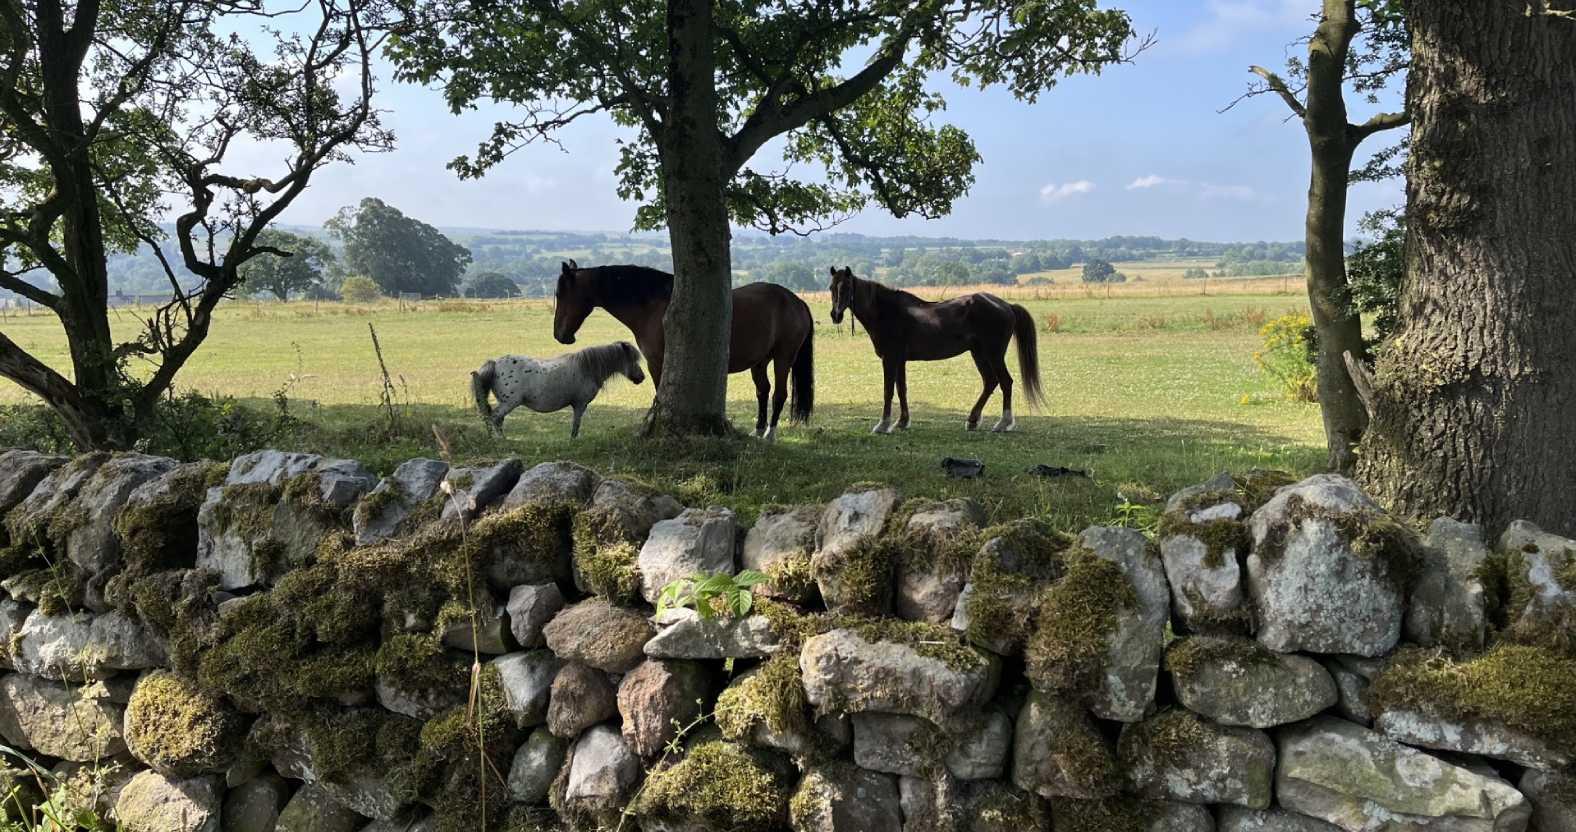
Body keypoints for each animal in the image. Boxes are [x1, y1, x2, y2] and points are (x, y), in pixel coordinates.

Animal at [470, 341, 645, 438]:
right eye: (633, 360)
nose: (641, 378)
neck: (587, 368)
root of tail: (495, 364)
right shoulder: (580, 404)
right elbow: (576, 425)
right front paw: (572, 441)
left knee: (495, 419)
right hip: (509, 403)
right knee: (495, 418)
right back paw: (501, 440)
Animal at [552, 260, 814, 440]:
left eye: (562, 294)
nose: (560, 335)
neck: (653, 306)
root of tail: (796, 301)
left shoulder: (656, 363)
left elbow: (658, 393)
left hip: (783, 358)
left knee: (779, 394)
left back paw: (770, 435)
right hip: (759, 362)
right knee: (762, 392)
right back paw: (758, 431)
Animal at [827, 266, 1045, 433]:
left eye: (846, 287)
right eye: (831, 287)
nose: (835, 315)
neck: (887, 312)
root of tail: (1006, 305)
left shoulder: (889, 359)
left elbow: (888, 391)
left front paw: (883, 425)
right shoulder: (900, 360)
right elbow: (901, 389)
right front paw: (902, 422)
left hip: (994, 354)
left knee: (1005, 382)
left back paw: (1003, 423)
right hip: (979, 354)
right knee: (990, 382)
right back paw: (973, 420)